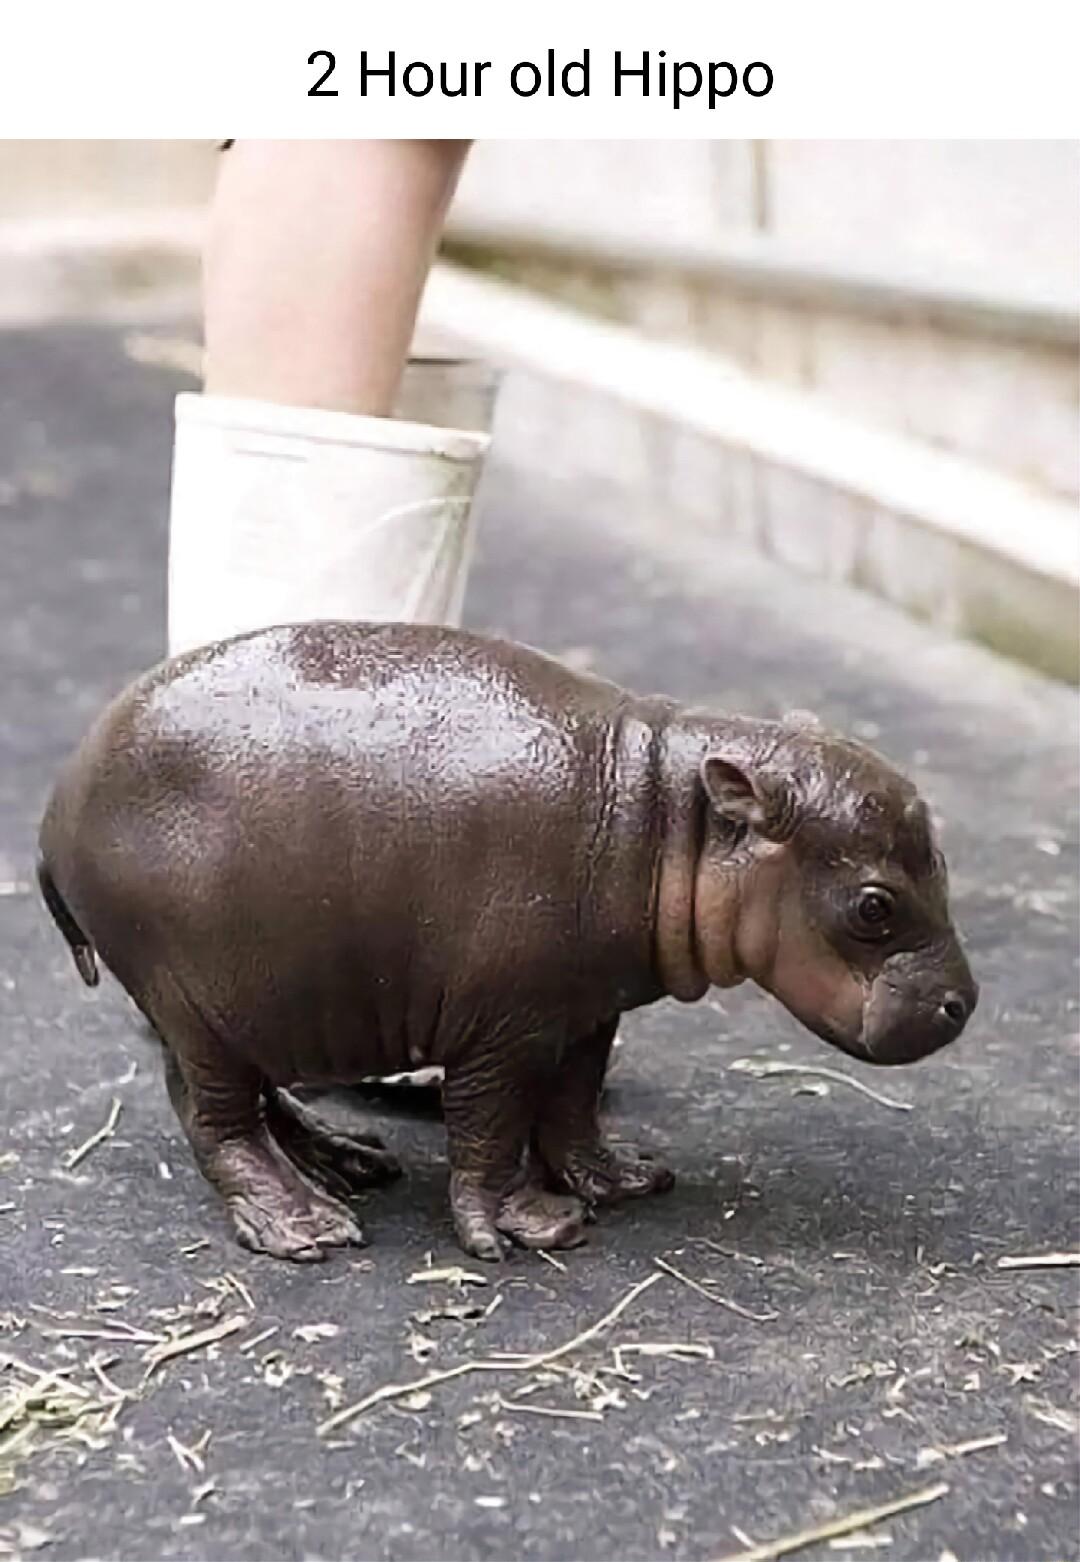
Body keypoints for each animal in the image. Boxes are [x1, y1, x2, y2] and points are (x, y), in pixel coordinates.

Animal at [38, 622, 977, 1262]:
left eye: (943, 860)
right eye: (874, 906)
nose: (963, 1004)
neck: (666, 813)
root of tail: (55, 809)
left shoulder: (587, 1009)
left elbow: (572, 1105)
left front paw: (625, 1180)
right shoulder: (502, 1025)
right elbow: (488, 1124)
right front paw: (521, 1229)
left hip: (259, 997)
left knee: (261, 1099)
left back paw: (348, 1162)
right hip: (196, 1000)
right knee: (215, 1118)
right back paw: (309, 1226)